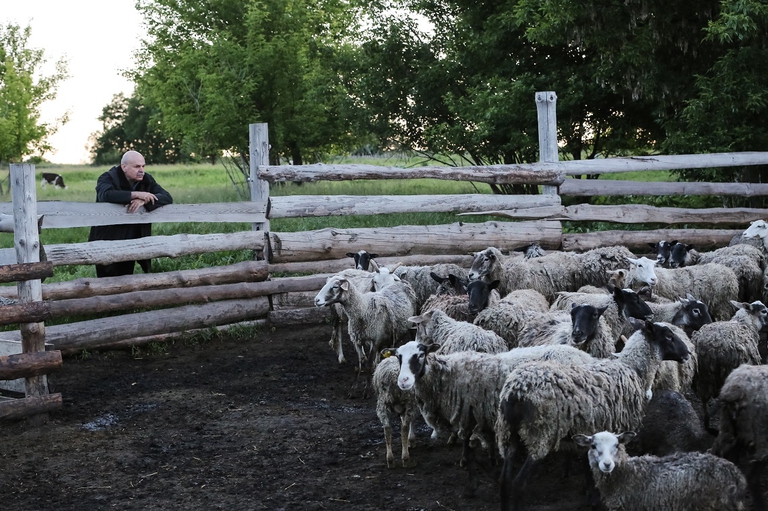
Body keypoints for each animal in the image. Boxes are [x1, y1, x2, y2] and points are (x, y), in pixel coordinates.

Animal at [496, 318, 691, 511]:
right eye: (669, 336)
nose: (687, 352)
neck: (634, 370)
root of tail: (515, 392)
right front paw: (595, 497)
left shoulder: (591, 427)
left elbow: (588, 464)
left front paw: (591, 493)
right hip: (541, 434)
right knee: (518, 483)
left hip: (509, 433)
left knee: (504, 480)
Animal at [692, 300, 768, 432]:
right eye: (764, 311)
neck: (745, 323)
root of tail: (711, 346)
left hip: (703, 376)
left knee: (704, 400)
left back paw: (708, 424)